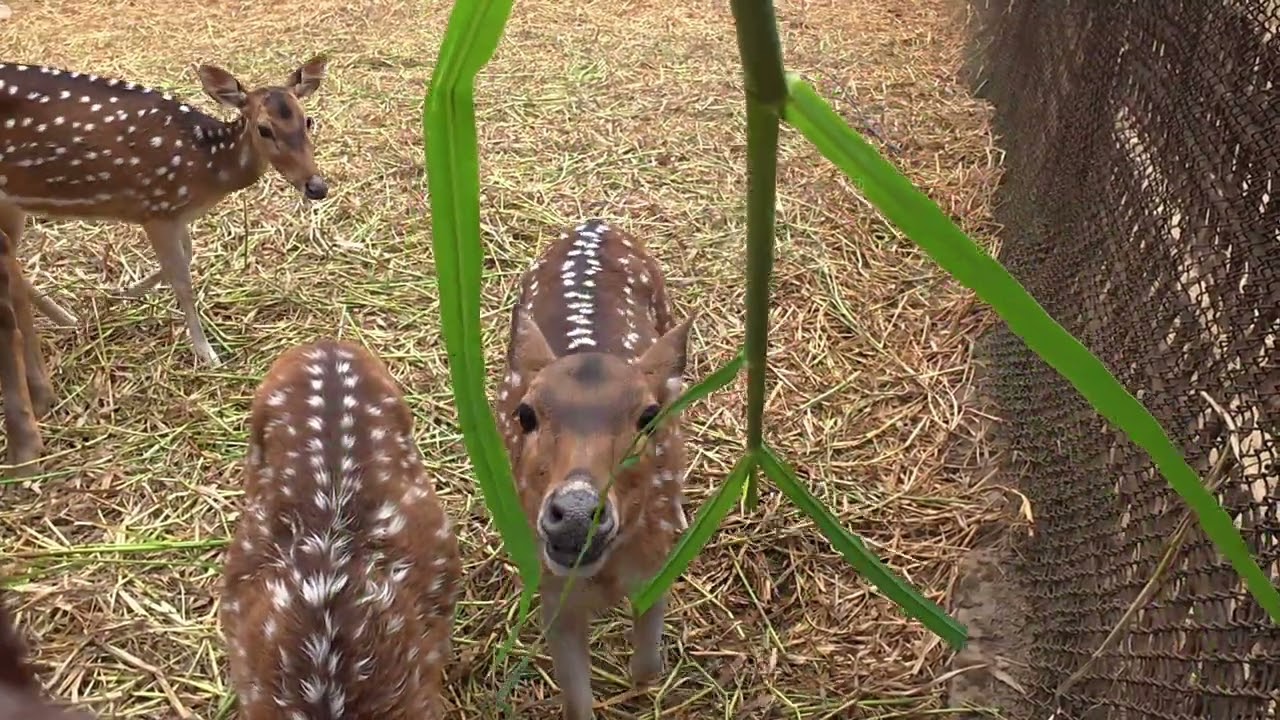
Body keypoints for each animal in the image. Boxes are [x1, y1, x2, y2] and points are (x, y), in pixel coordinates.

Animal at [0, 55, 331, 369]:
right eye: (264, 129)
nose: (317, 187)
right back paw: (65, 320)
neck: (209, 170)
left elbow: (187, 254)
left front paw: (125, 290)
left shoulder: (176, 214)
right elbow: (182, 282)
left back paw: (68, 319)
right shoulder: (155, 208)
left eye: (308, 121)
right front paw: (207, 353)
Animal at [494, 219, 696, 720]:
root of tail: (595, 224)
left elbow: (647, 666)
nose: (578, 513)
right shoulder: (551, 589)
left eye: (649, 417)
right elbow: (576, 699)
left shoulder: (654, 567)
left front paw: (641, 689)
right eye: (524, 414)